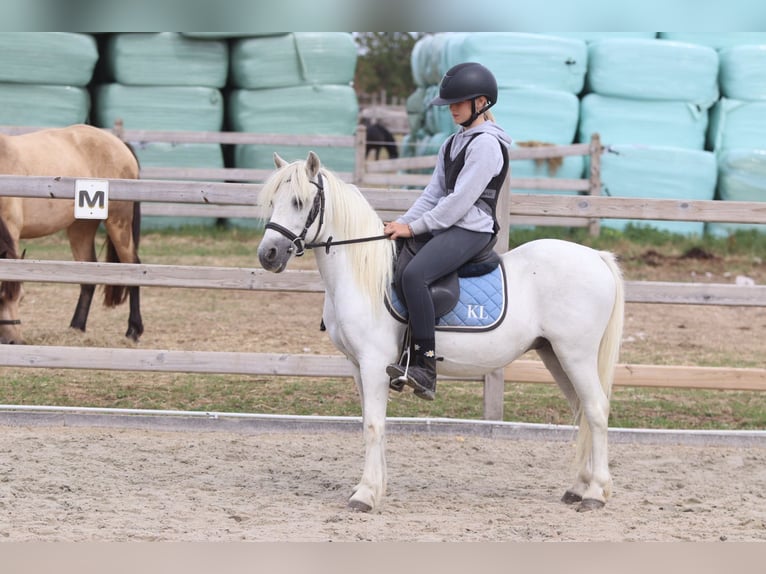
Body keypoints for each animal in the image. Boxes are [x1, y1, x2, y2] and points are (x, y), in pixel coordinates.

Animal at [0, 124, 143, 345]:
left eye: (21, 298)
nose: (13, 342)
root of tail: (118, 143)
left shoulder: (12, 230)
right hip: (81, 228)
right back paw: (77, 327)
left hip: (118, 222)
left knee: (133, 265)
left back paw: (133, 330)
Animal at [257, 151, 625, 513]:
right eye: (273, 200)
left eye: (299, 202)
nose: (268, 254)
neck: (363, 272)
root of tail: (596, 257)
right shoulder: (357, 366)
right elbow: (370, 424)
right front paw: (377, 487)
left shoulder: (374, 363)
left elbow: (374, 425)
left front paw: (365, 494)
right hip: (554, 354)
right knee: (583, 410)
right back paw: (578, 487)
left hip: (576, 354)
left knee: (595, 409)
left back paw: (595, 493)